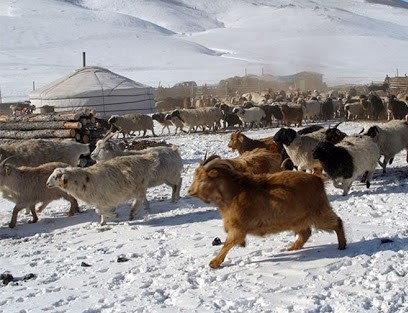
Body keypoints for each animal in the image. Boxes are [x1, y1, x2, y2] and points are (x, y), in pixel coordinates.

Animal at [187, 158, 344, 268]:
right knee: (305, 233)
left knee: (337, 222)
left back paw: (342, 245)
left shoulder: (237, 228)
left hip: (318, 212)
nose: (190, 191)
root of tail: (317, 178)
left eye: (202, 179)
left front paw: (214, 263)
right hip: (298, 219)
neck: (234, 192)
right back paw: (291, 248)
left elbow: (227, 244)